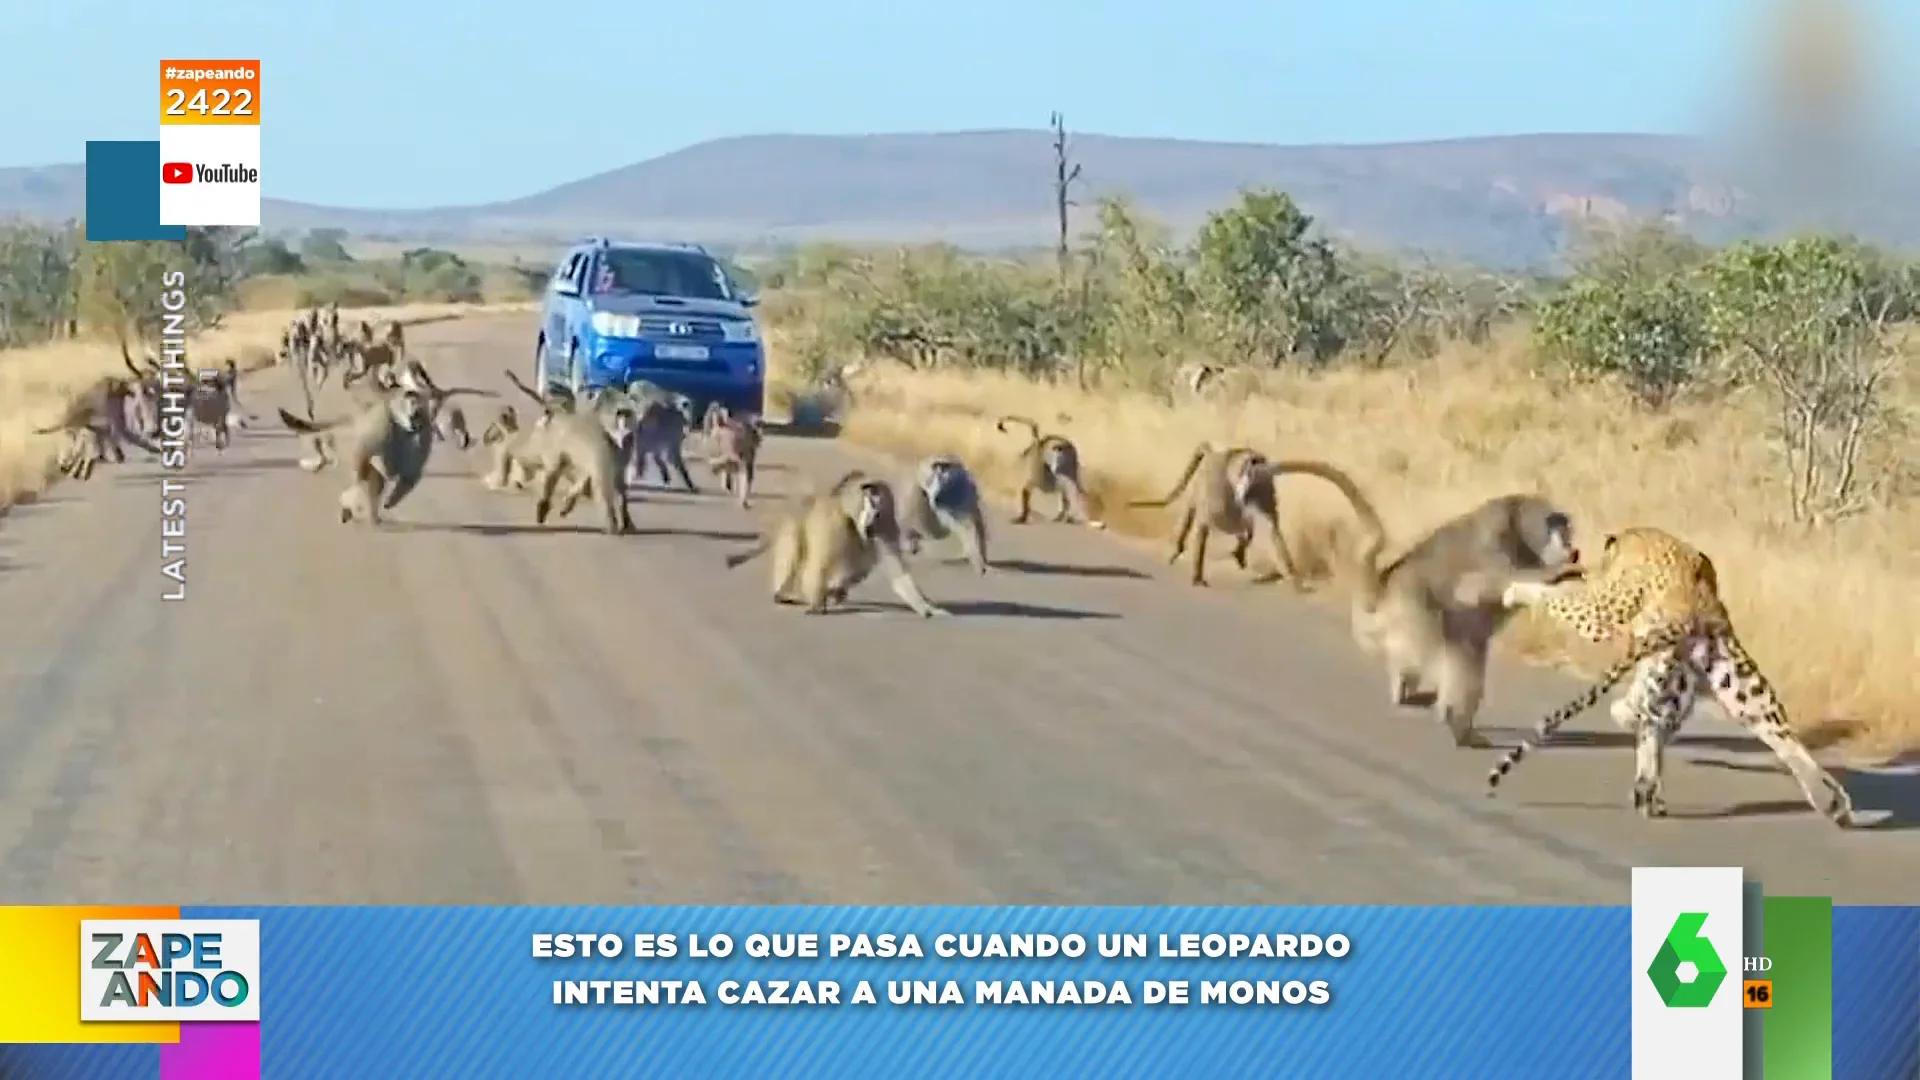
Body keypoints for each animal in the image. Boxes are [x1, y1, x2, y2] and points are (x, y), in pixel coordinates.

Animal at [1474, 526, 1850, 822]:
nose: (1580, 564)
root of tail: (1692, 613)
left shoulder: (1605, 607)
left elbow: (1564, 599)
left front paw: (1516, 590)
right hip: (1728, 676)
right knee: (1775, 731)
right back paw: (1829, 800)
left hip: (1660, 663)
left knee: (1647, 718)